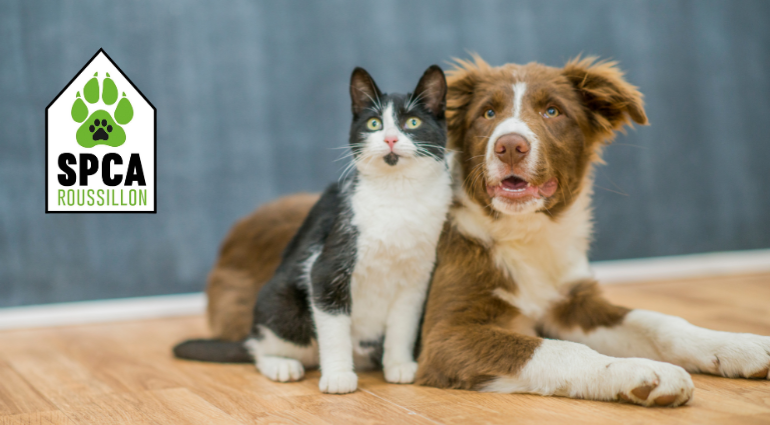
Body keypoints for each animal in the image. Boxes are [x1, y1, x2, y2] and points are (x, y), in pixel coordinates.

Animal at [173, 64, 450, 392]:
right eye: (374, 123)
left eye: (412, 122)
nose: (391, 139)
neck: (398, 195)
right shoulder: (327, 267)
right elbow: (334, 328)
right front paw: (338, 376)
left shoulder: (416, 279)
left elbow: (403, 326)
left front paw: (399, 365)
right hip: (284, 306)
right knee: (260, 348)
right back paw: (281, 365)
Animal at [201, 55, 764, 404]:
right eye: (488, 114)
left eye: (552, 111)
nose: (510, 145)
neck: (522, 235)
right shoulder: (446, 334)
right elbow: (556, 350)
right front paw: (637, 373)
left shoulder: (572, 300)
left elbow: (659, 321)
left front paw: (741, 347)